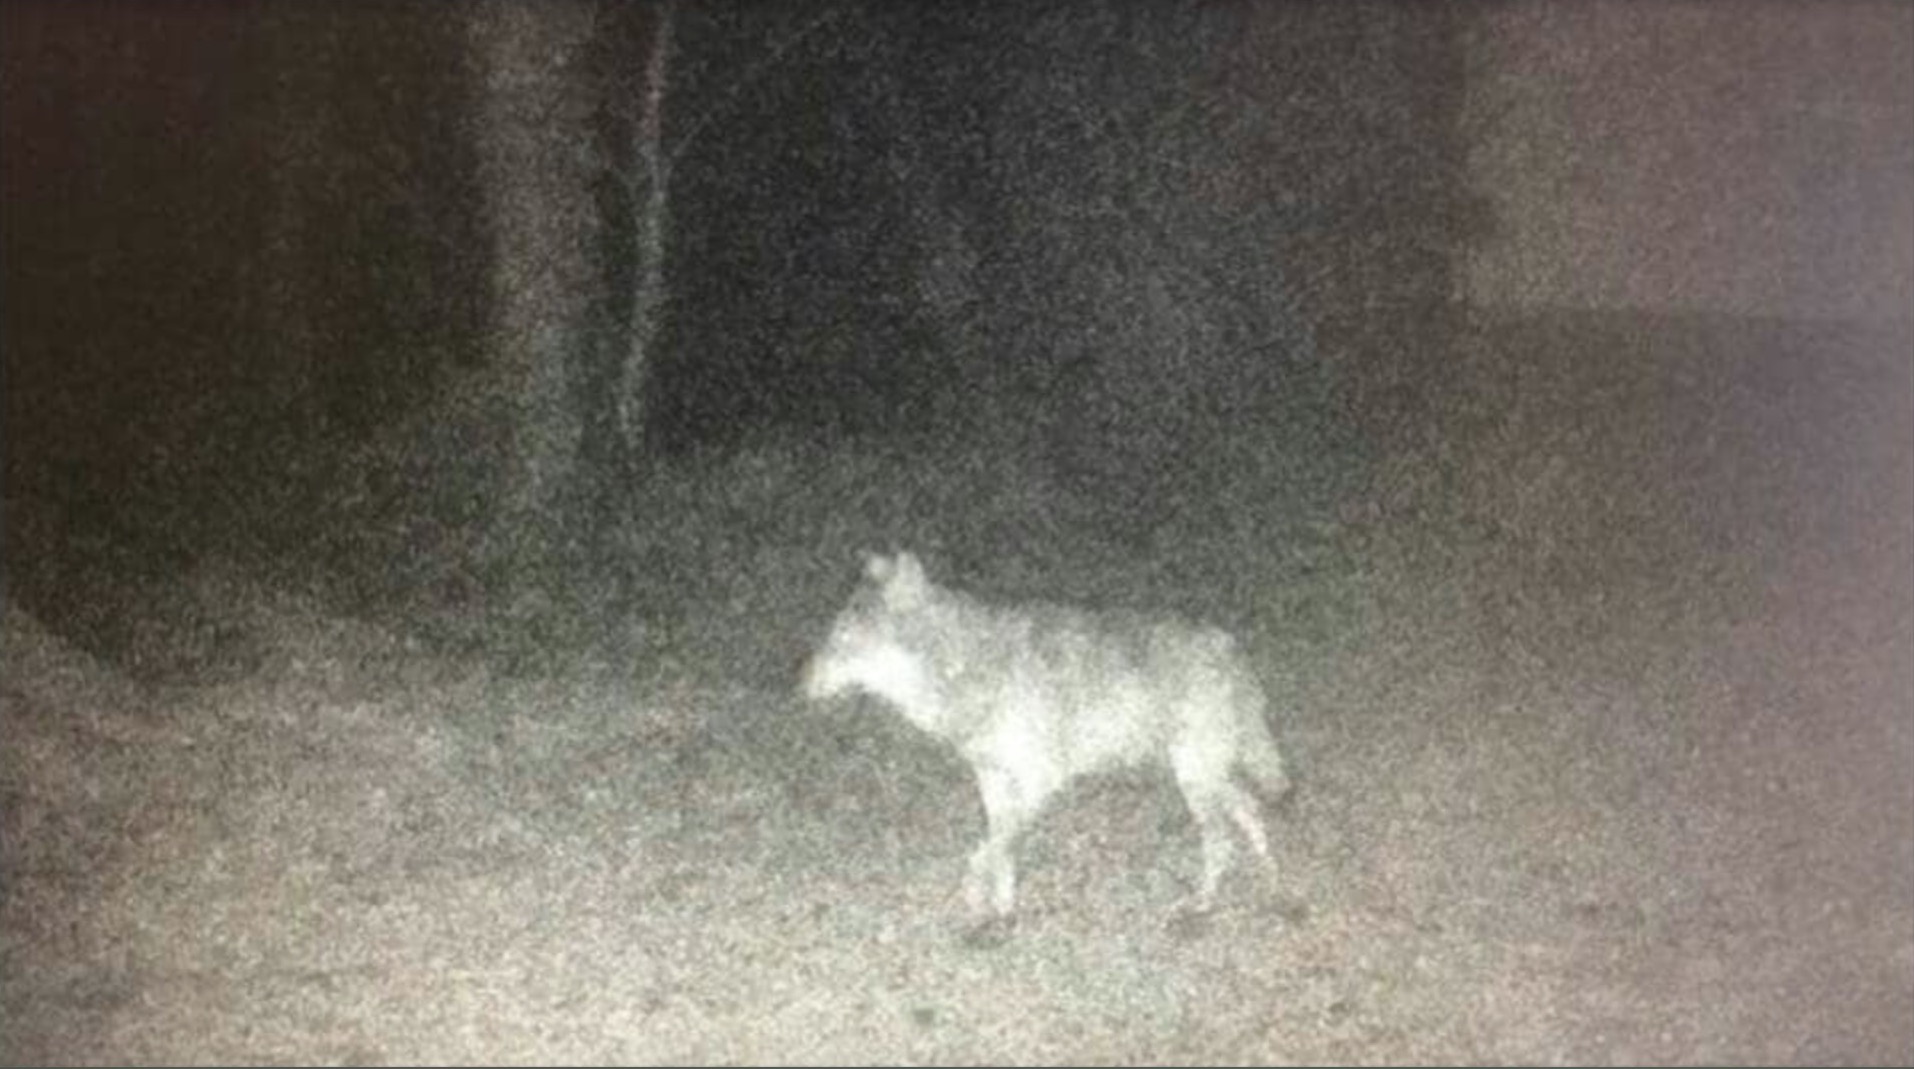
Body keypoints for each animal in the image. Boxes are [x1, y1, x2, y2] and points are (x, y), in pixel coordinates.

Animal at [801, 551, 1290, 931]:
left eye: (842, 640)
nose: (798, 685)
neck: (960, 664)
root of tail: (1230, 649)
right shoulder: (991, 777)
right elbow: (999, 845)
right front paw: (1002, 910)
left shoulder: (1039, 779)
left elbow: (992, 848)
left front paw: (976, 897)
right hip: (1203, 774)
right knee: (1250, 811)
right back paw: (1271, 881)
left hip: (1195, 777)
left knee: (1222, 838)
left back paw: (1203, 903)